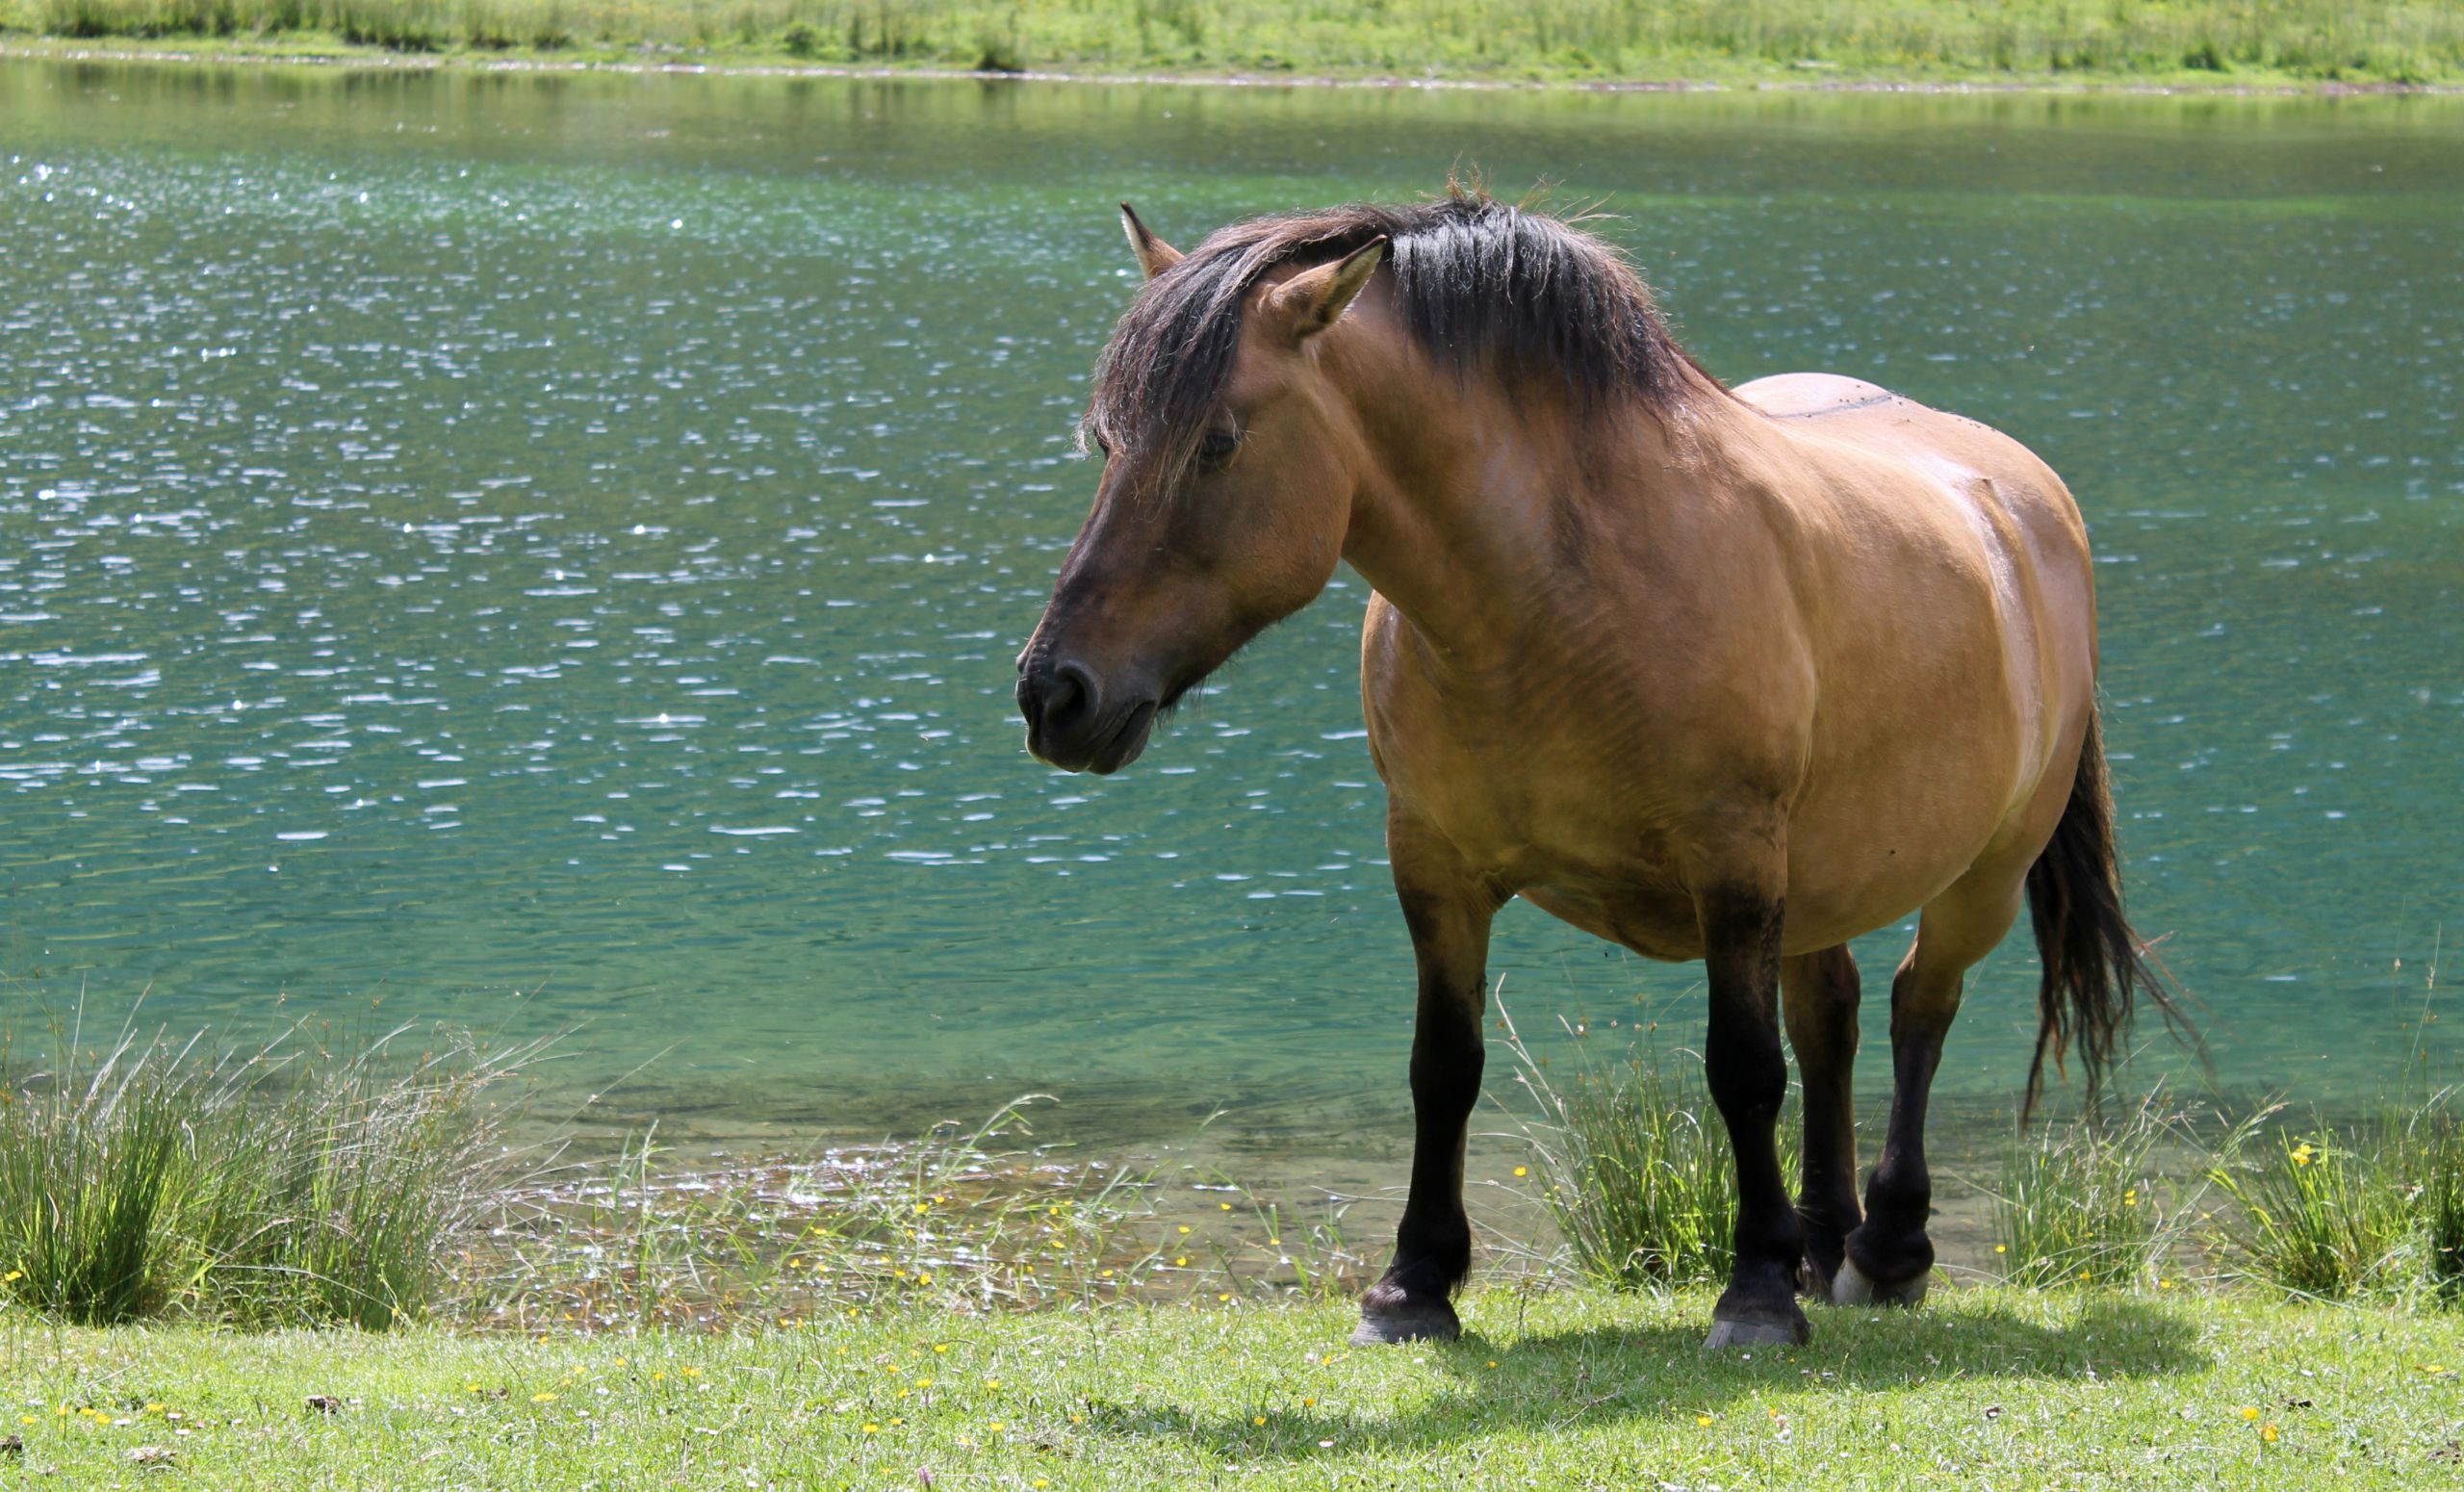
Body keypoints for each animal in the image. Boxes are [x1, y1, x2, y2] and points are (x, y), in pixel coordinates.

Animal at [1014, 188, 2178, 1351]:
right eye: (1108, 439)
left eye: (1217, 440)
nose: (1054, 692)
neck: (1556, 600)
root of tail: (2024, 492)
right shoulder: (1434, 864)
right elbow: (1444, 1068)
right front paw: (1413, 1284)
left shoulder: (1733, 864)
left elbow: (1742, 1070)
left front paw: (1754, 1293)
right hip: (1823, 881)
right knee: (1835, 1017)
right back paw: (1822, 1237)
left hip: (1981, 874)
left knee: (1916, 1011)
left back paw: (1883, 1249)